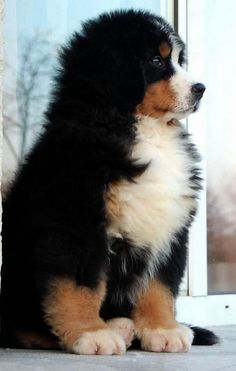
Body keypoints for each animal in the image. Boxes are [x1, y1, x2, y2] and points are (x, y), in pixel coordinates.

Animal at [0, 9, 218, 354]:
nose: (201, 88)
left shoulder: (169, 225)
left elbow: (158, 285)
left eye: (179, 60)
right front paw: (89, 333)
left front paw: (162, 329)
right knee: (21, 329)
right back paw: (112, 328)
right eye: (156, 60)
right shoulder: (77, 223)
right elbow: (80, 286)